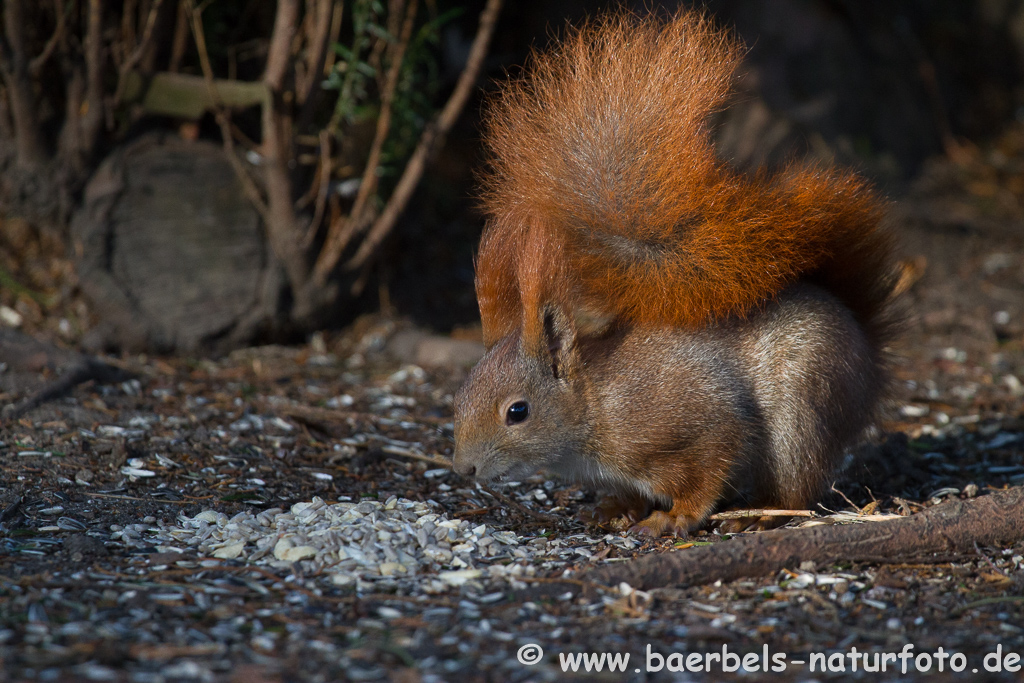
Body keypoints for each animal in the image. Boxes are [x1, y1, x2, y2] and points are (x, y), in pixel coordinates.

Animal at [454, 7, 897, 536]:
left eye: (517, 412)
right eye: (461, 394)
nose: (463, 469)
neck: (596, 404)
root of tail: (866, 345)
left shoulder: (690, 425)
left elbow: (708, 469)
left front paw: (674, 517)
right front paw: (613, 507)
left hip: (806, 410)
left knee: (798, 485)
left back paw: (758, 515)